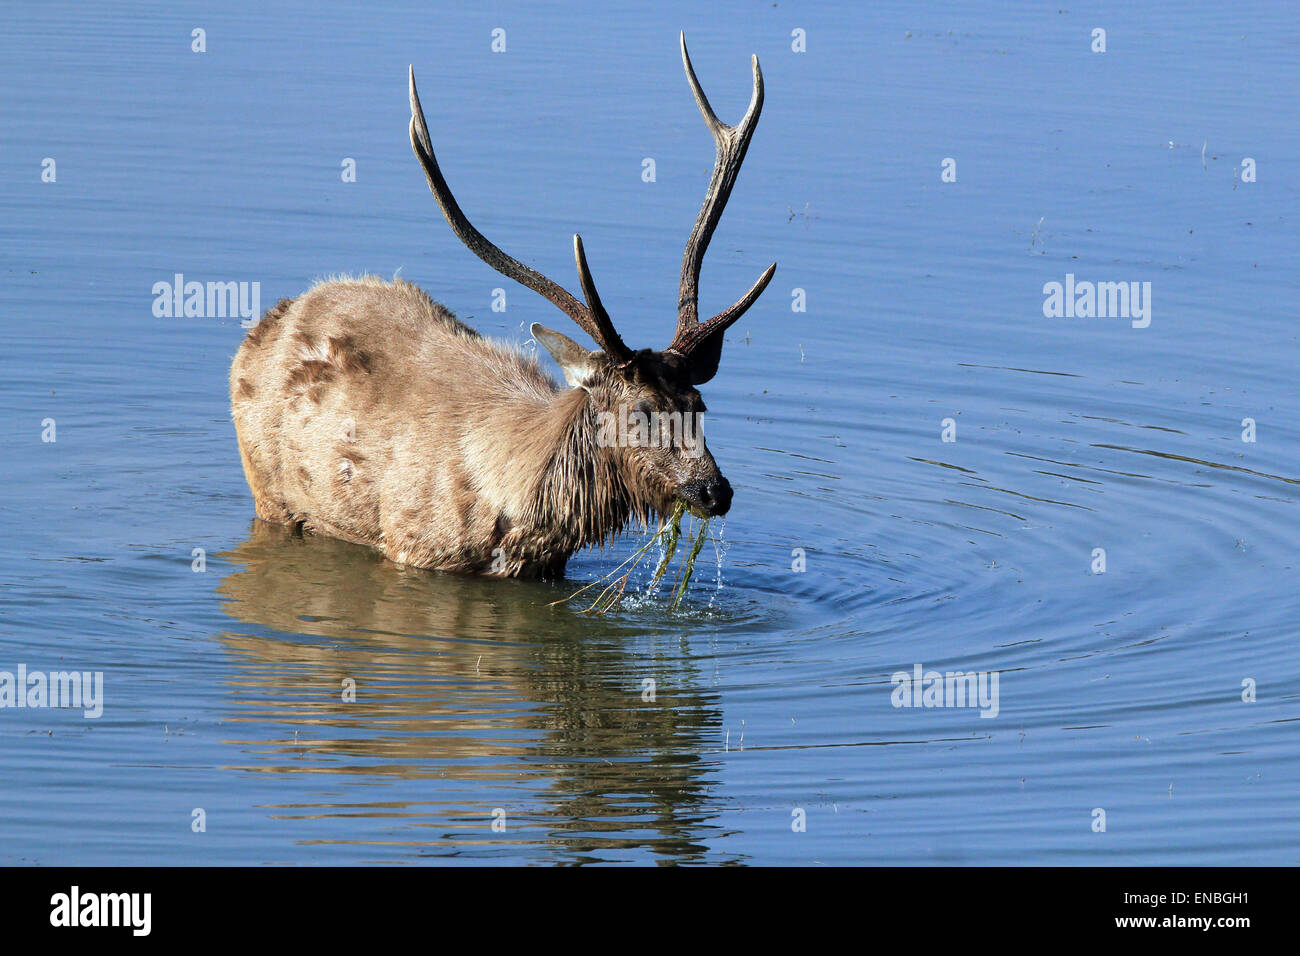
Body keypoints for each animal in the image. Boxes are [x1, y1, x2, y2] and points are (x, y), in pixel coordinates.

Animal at [227, 33, 769, 574]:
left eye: (699, 404)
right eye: (641, 410)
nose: (714, 491)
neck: (517, 510)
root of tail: (270, 320)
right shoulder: (411, 547)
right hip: (267, 491)